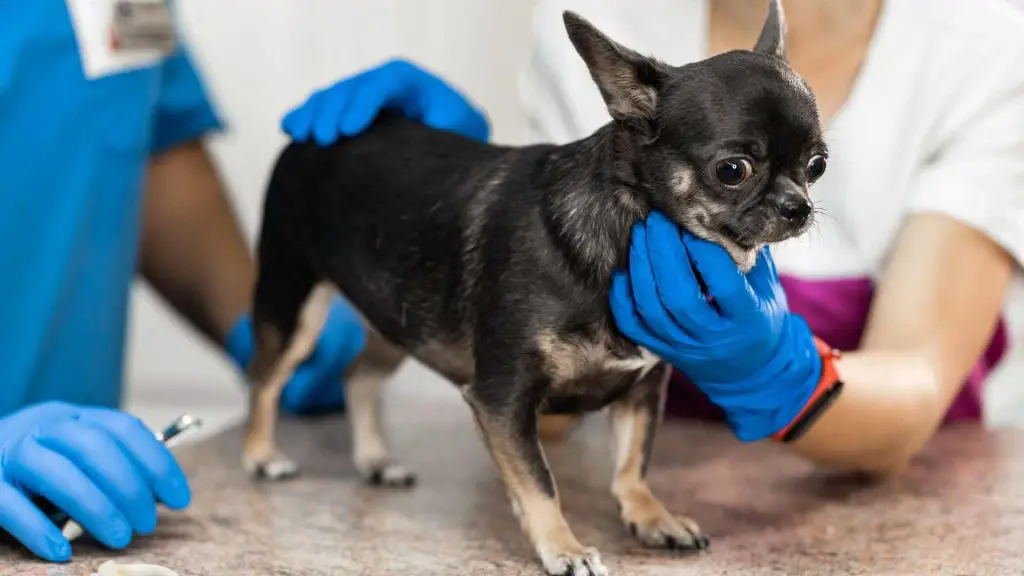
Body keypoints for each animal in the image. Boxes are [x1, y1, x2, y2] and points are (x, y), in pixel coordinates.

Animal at [243, 2, 827, 569]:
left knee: (358, 376)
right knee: (265, 380)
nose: (798, 207)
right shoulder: (502, 400)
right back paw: (261, 455)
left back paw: (376, 460)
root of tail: (312, 139)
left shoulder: (641, 390)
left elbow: (632, 464)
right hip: (295, 307)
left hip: (402, 316)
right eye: (733, 170)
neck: (623, 233)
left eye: (817, 165)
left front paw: (652, 517)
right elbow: (540, 483)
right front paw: (563, 548)